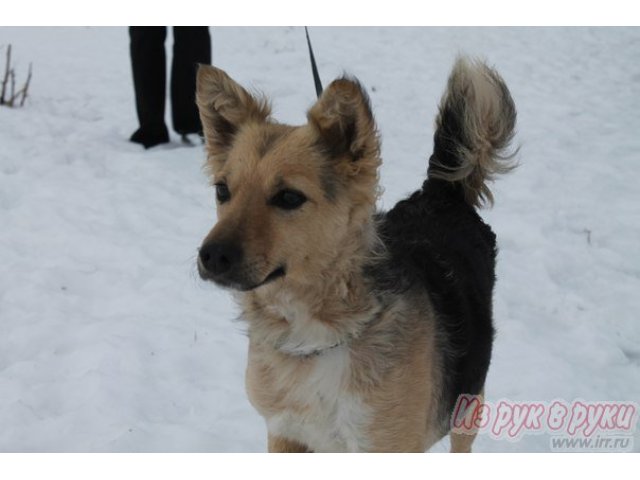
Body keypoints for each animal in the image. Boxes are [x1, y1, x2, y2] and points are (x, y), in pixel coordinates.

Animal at [194, 55, 516, 450]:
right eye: (222, 191)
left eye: (289, 197)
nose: (211, 256)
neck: (313, 334)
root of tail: (440, 193)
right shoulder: (285, 432)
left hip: (468, 401)